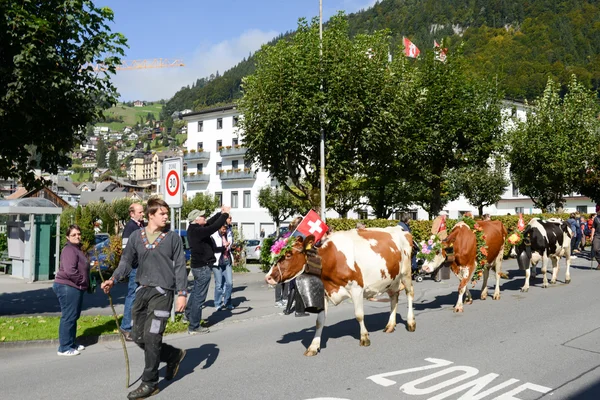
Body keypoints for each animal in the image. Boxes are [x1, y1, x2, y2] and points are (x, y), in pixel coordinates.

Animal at [264, 227, 414, 358]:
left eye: (288, 255)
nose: (268, 277)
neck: (331, 260)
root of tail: (401, 229)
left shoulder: (356, 288)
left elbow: (359, 315)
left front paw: (364, 338)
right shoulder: (324, 293)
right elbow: (319, 321)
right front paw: (313, 346)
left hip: (405, 273)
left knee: (409, 293)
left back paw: (411, 323)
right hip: (392, 279)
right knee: (394, 297)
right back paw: (390, 326)